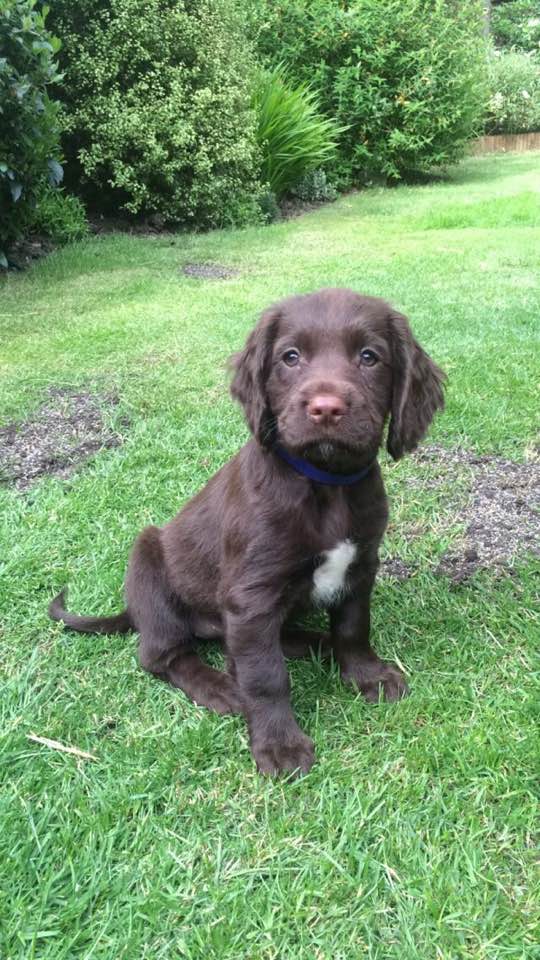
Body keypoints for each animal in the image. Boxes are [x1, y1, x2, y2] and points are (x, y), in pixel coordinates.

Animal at [49, 284, 448, 772]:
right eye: (290, 357)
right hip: (148, 563)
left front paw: (366, 675)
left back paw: (314, 643)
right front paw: (279, 744)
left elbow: (354, 626)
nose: (326, 408)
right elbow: (265, 675)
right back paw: (221, 686)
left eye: (369, 357)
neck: (324, 483)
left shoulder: (360, 565)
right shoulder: (252, 595)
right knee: (163, 655)